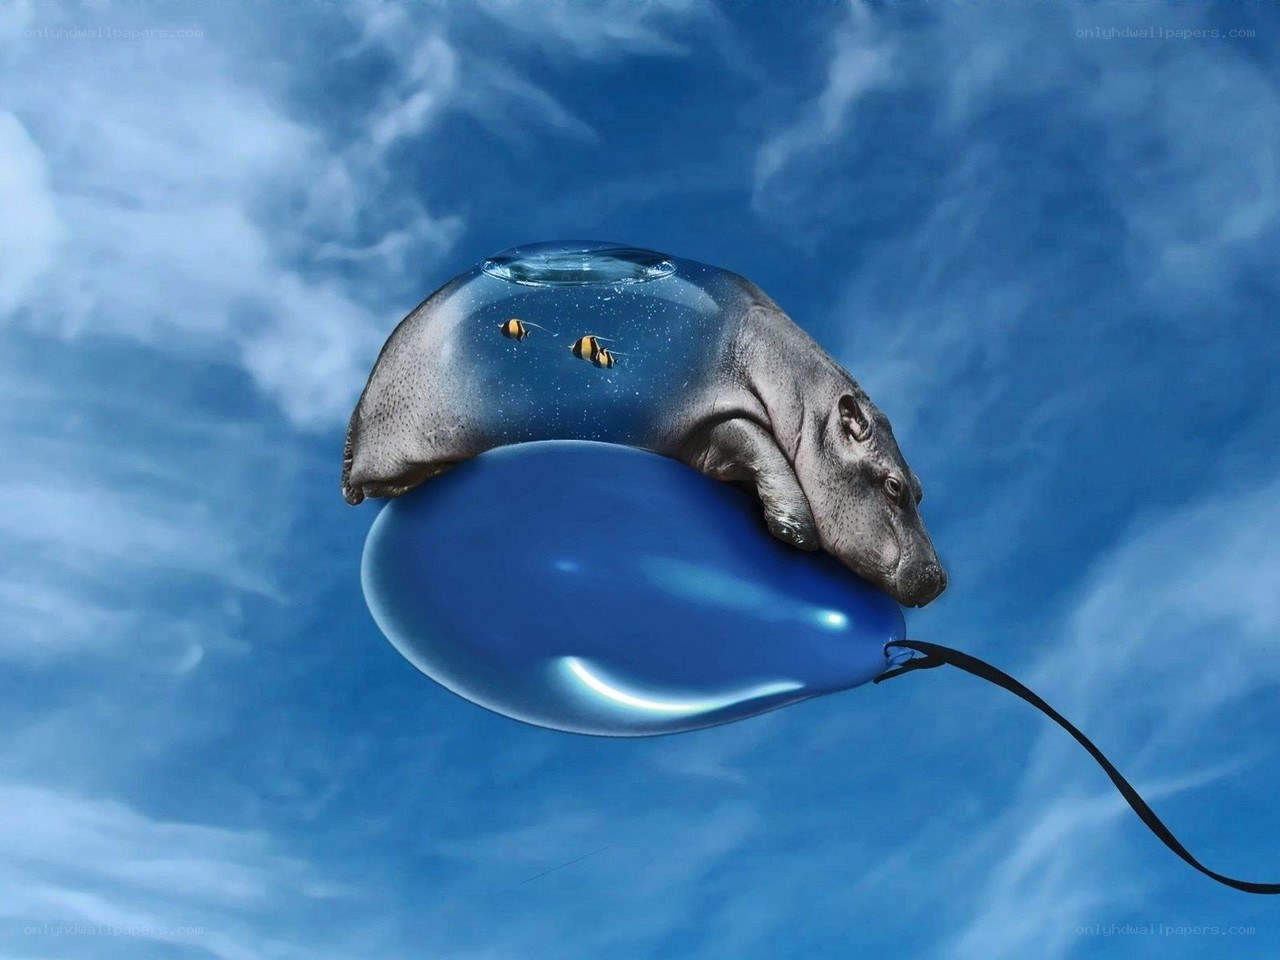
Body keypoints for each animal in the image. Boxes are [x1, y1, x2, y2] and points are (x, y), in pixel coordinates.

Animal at [341, 241, 947, 607]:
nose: (939, 579)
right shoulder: (714, 417)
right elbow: (759, 445)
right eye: (893, 486)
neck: (803, 403)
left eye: (919, 486)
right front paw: (795, 529)